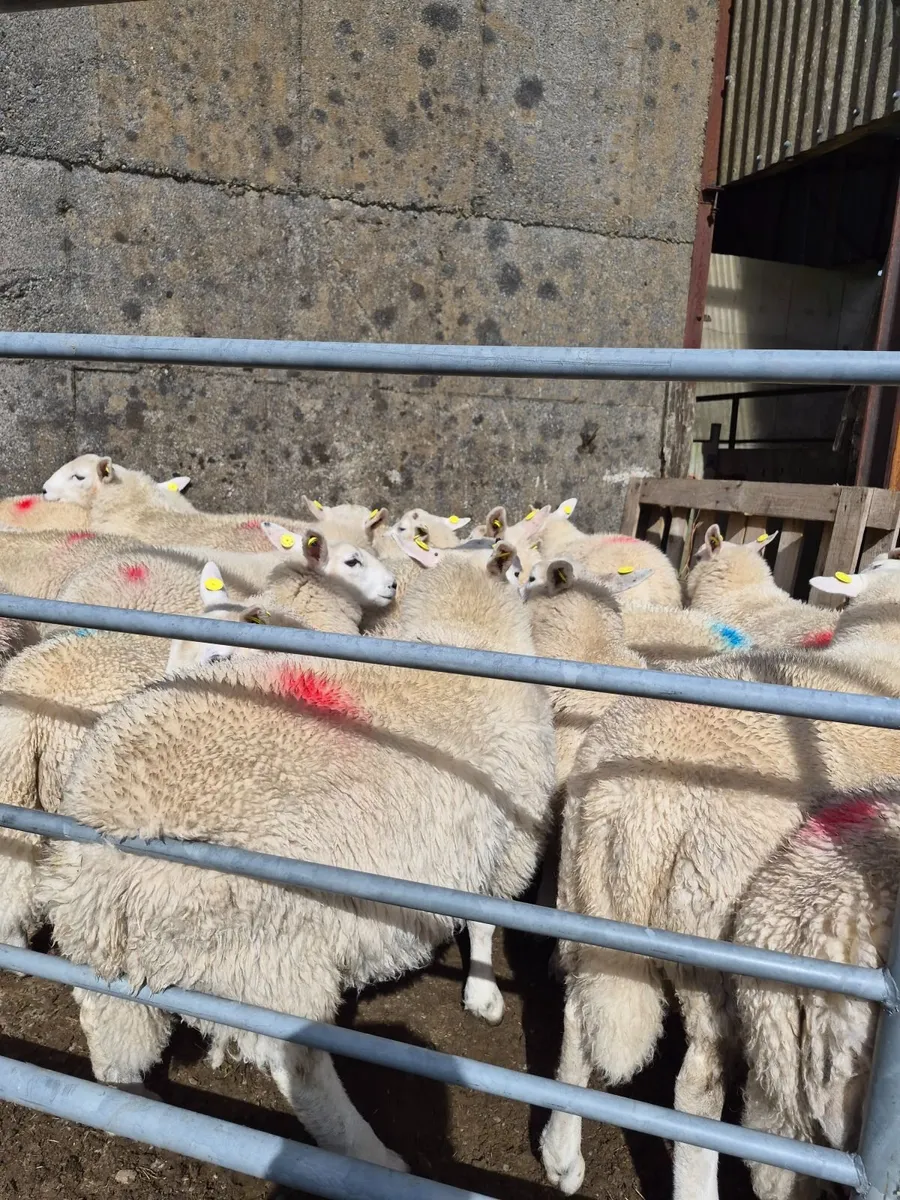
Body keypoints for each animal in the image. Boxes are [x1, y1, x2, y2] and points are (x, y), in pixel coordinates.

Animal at [39, 539, 555, 1172]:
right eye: (520, 569)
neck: (469, 632)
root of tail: (115, 835)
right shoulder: (508, 843)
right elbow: (484, 924)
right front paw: (484, 994)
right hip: (272, 959)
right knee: (303, 1072)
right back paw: (371, 1156)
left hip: (104, 951)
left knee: (110, 1037)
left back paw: (135, 1105)